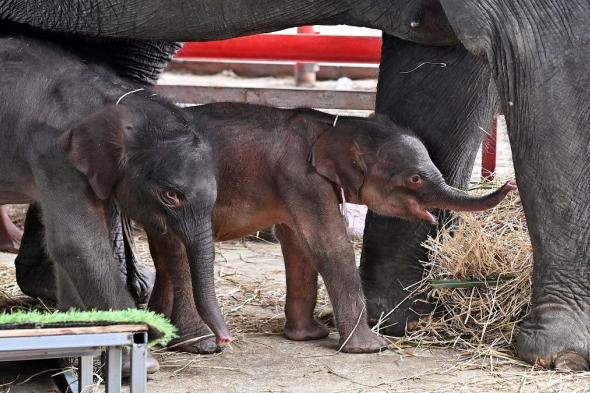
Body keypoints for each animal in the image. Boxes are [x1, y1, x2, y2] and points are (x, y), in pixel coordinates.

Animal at [150, 102, 516, 354]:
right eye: (414, 178)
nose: (510, 184)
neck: (335, 123)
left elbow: (298, 244)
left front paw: (308, 337)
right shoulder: (301, 177)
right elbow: (329, 242)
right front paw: (372, 348)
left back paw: (156, 332)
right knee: (178, 255)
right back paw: (199, 345)